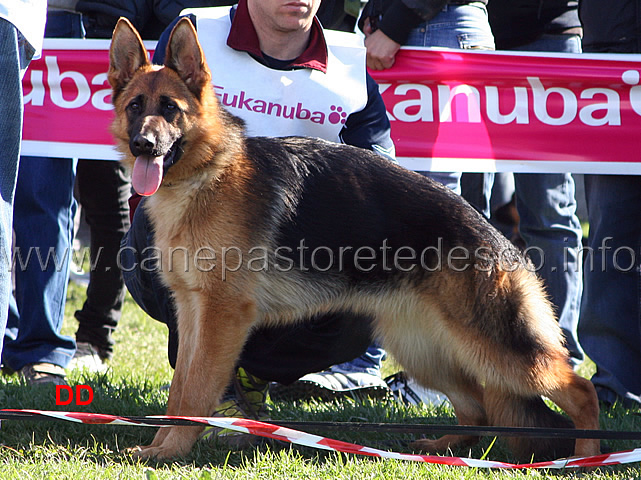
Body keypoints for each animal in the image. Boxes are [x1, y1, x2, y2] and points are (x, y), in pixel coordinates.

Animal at [107, 18, 596, 462]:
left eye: (170, 109)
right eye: (135, 107)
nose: (143, 144)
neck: (208, 172)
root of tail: (497, 237)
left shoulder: (221, 317)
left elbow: (194, 393)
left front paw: (173, 450)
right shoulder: (193, 313)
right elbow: (179, 390)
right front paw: (161, 445)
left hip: (496, 349)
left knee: (580, 388)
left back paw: (585, 457)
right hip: (426, 350)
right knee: (476, 408)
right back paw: (443, 448)